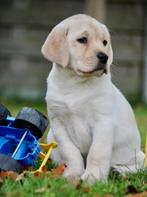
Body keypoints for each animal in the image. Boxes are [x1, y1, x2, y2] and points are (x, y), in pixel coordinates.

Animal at [41, 13, 145, 183]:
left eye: (104, 42)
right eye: (82, 39)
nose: (105, 57)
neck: (75, 83)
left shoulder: (103, 122)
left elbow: (97, 152)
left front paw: (93, 177)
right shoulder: (58, 125)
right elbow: (71, 153)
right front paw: (73, 174)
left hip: (137, 155)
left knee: (139, 167)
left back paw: (119, 171)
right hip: (51, 139)